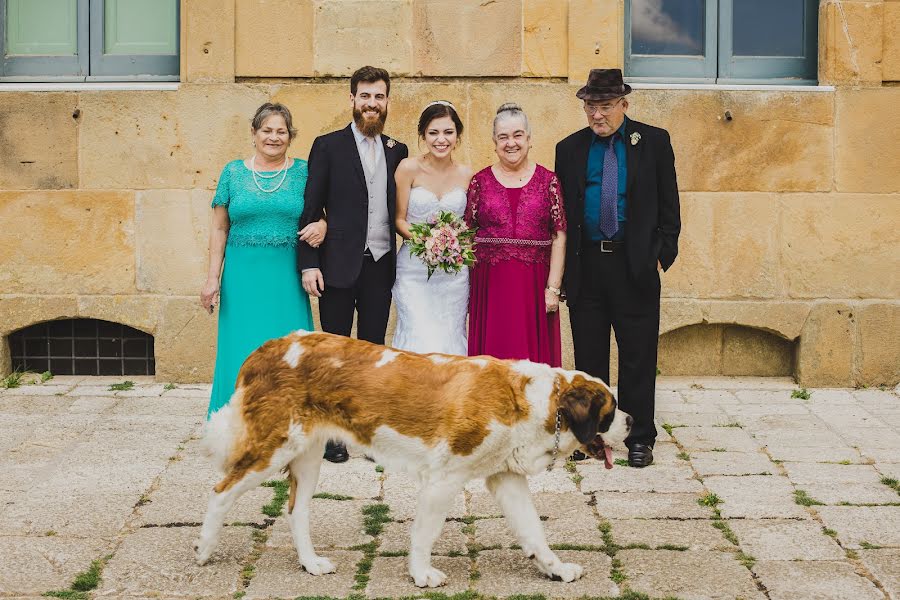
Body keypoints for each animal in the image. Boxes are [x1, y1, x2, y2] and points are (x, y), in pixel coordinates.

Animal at [197, 328, 632, 584]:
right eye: (610, 411)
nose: (631, 422)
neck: (537, 401)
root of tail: (268, 347)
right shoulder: (444, 479)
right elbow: (426, 532)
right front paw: (421, 573)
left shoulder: (505, 478)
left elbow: (533, 530)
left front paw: (554, 567)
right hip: (274, 447)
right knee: (220, 491)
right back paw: (204, 549)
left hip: (307, 455)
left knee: (297, 510)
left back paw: (311, 563)